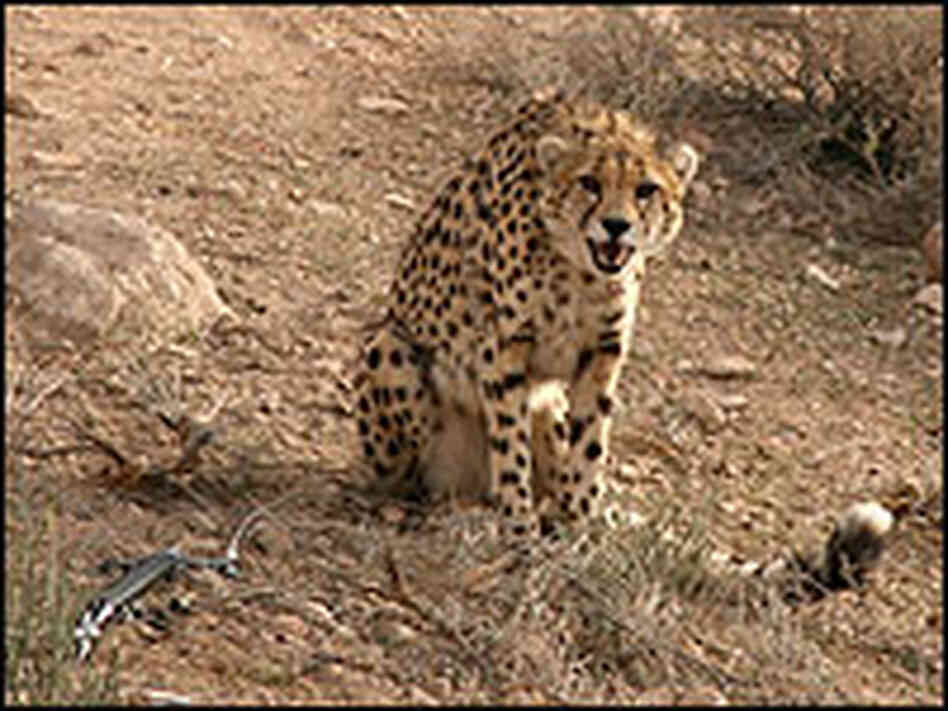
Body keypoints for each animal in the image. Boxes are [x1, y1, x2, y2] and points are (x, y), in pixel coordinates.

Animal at [352, 87, 892, 598]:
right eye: (589, 184)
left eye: (645, 190)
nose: (616, 225)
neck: (577, 265)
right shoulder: (504, 350)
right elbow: (510, 454)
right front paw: (521, 535)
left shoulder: (601, 354)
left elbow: (589, 452)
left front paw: (577, 534)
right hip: (388, 349)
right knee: (422, 482)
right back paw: (458, 509)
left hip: (547, 404)